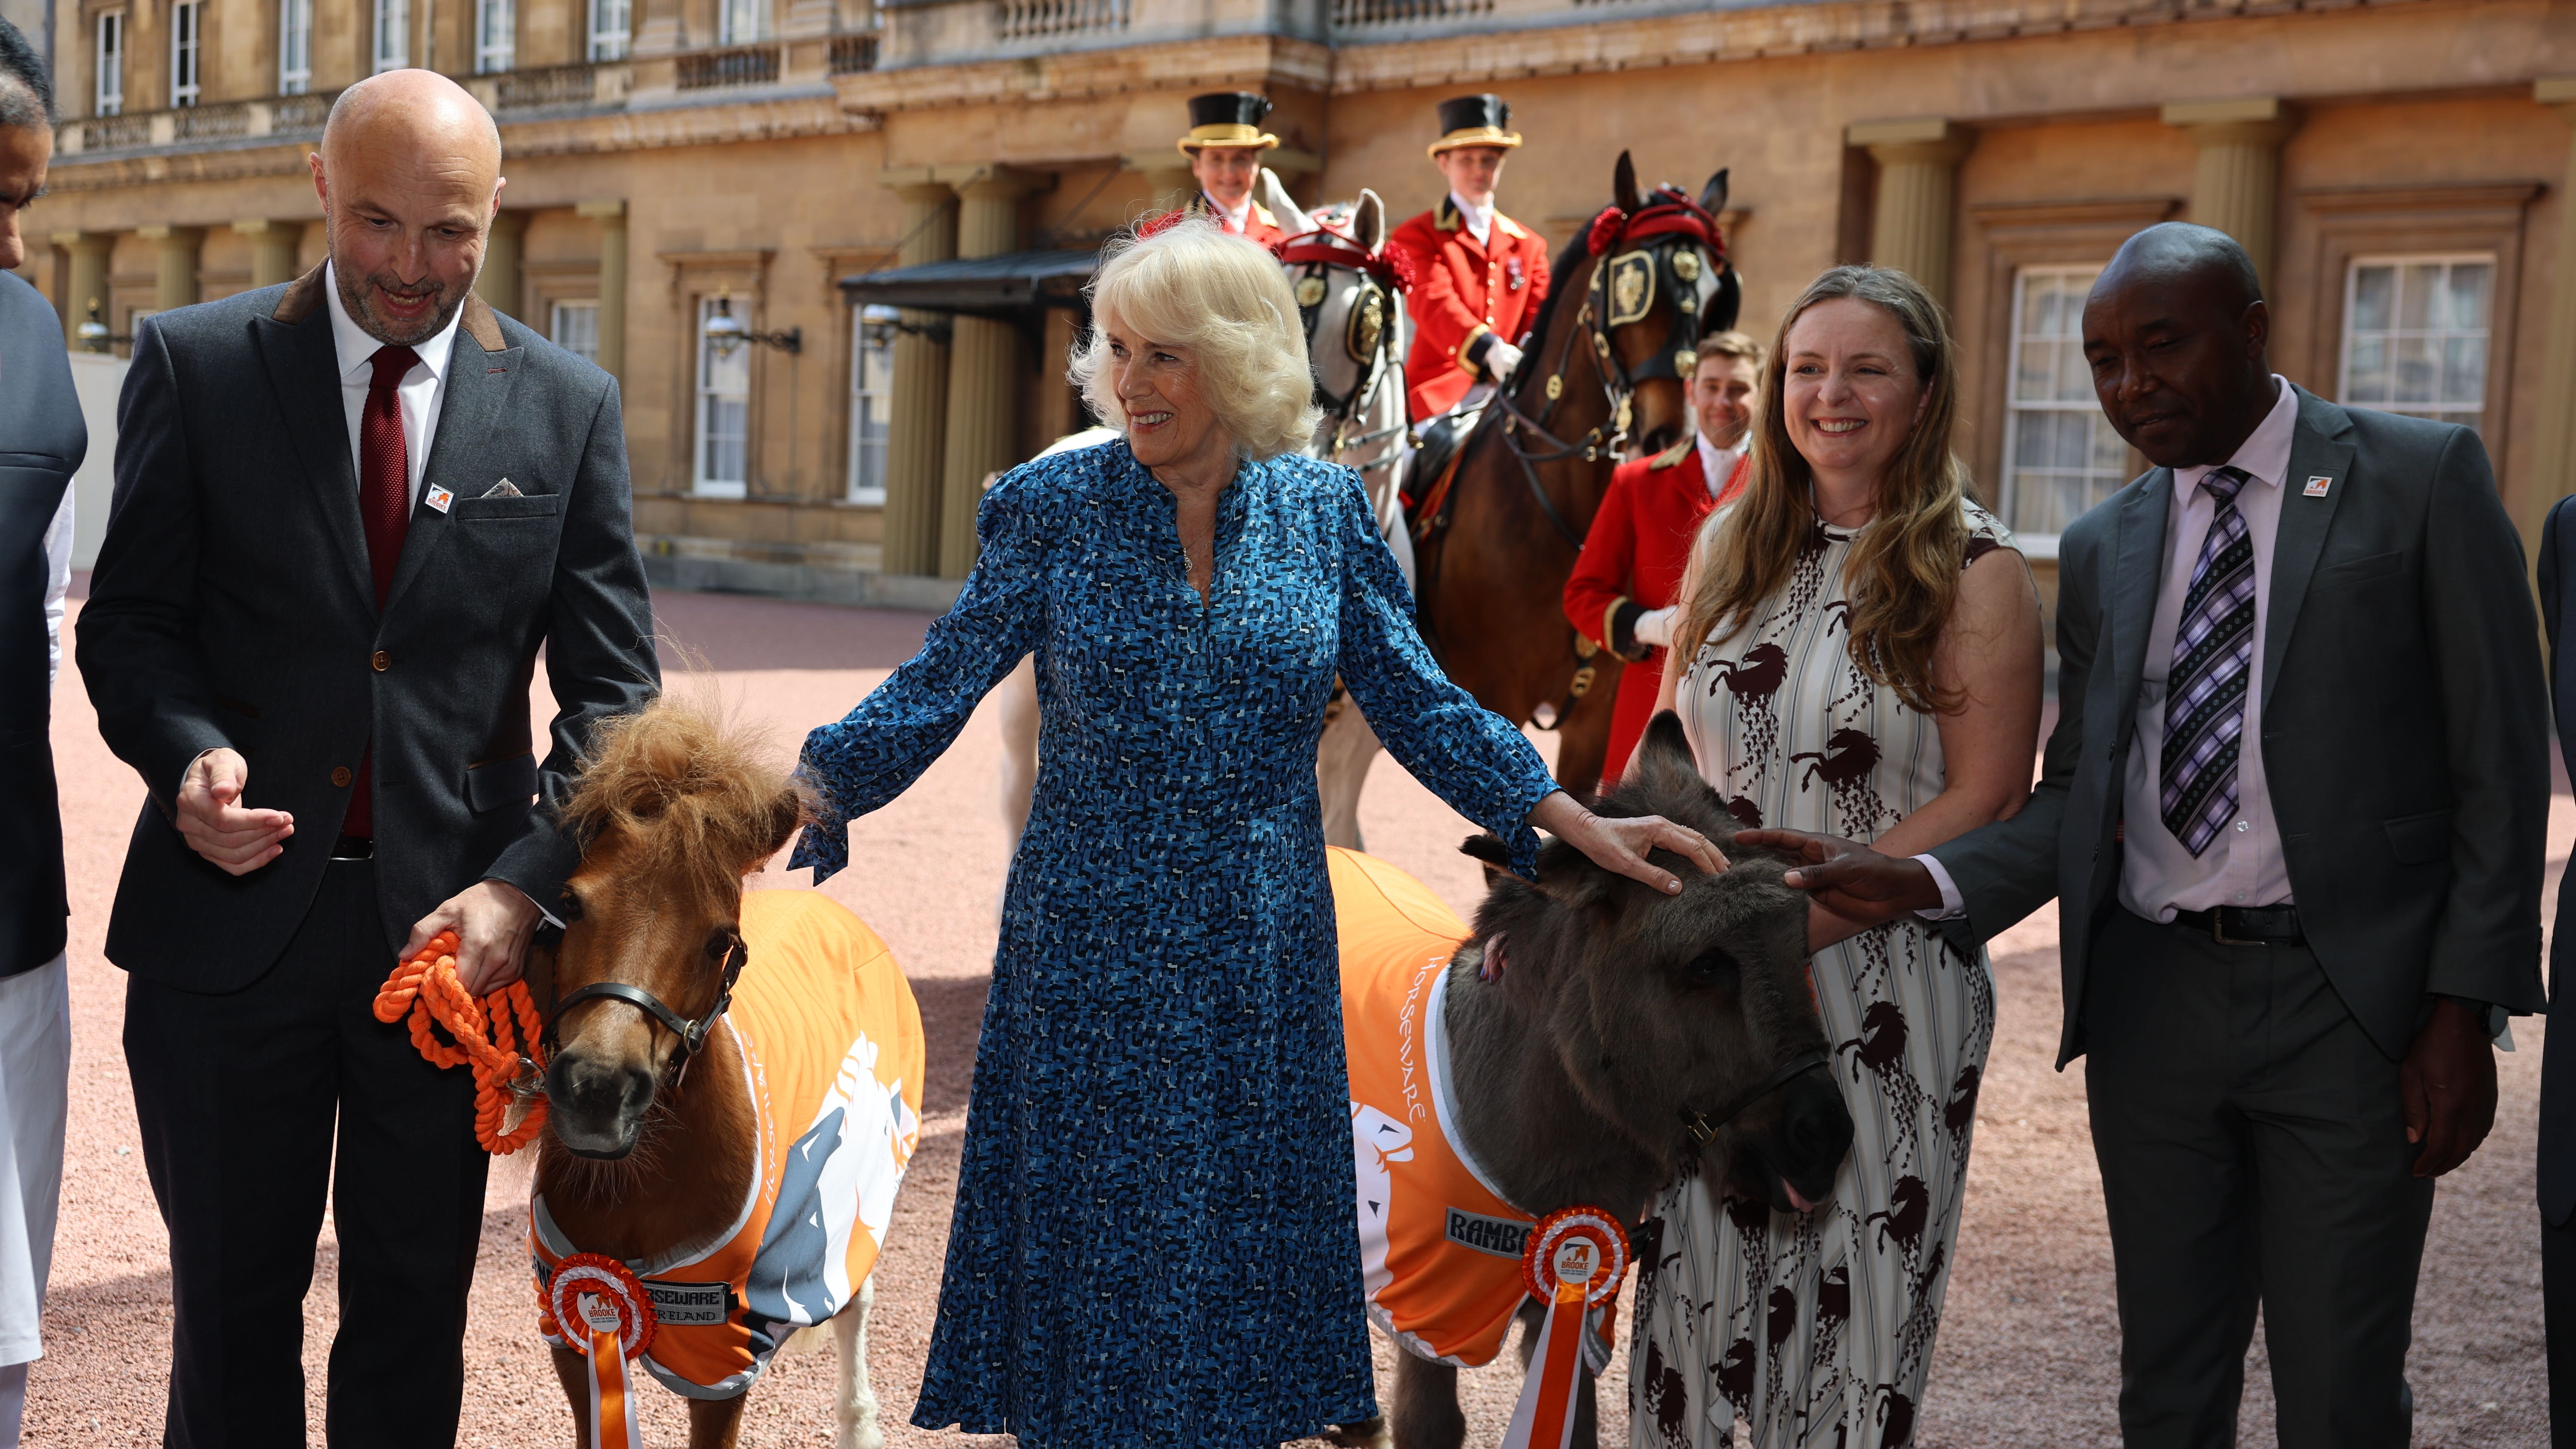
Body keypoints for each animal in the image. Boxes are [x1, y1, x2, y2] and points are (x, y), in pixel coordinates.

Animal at [531, 696, 886, 1433]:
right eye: (571, 901)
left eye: (720, 937)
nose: (597, 1090)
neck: (634, 1189)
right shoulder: (572, 1332)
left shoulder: (723, 1363)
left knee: (855, 1305)